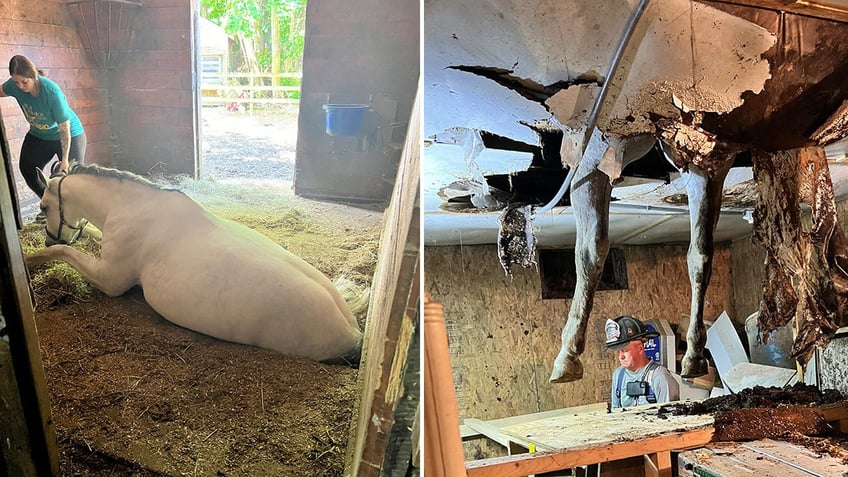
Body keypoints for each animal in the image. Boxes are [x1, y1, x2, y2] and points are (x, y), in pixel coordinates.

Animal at [25, 164, 364, 360]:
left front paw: (30, 260)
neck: (129, 207)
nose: (48, 239)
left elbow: (64, 254)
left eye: (43, 206)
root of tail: (352, 332)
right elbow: (89, 235)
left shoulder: (110, 280)